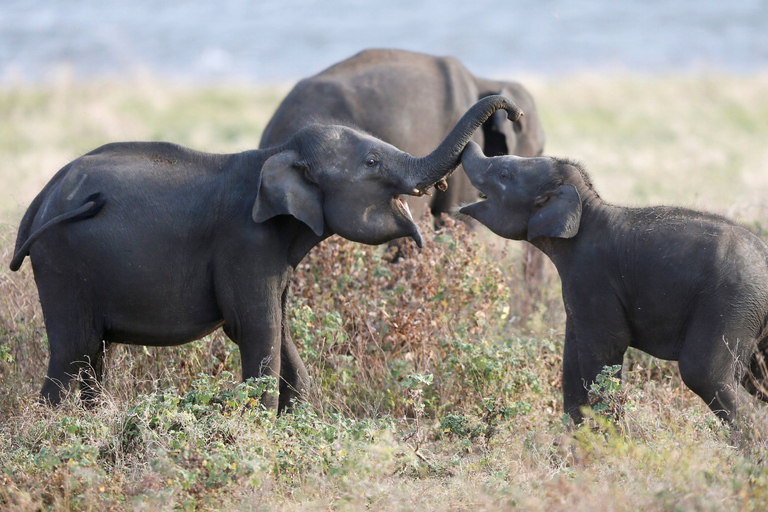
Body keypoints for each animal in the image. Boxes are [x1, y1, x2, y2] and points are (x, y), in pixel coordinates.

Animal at [9, 94, 520, 410]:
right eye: (372, 162)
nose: (512, 114)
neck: (279, 152)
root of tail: (40, 200)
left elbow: (281, 329)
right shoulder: (246, 243)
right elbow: (257, 330)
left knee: (95, 356)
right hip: (60, 261)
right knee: (73, 352)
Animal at [460, 141, 768, 424]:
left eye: (503, 173)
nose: (470, 143)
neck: (587, 205)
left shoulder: (592, 276)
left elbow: (604, 352)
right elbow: (572, 360)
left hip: (731, 303)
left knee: (704, 374)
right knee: (756, 380)